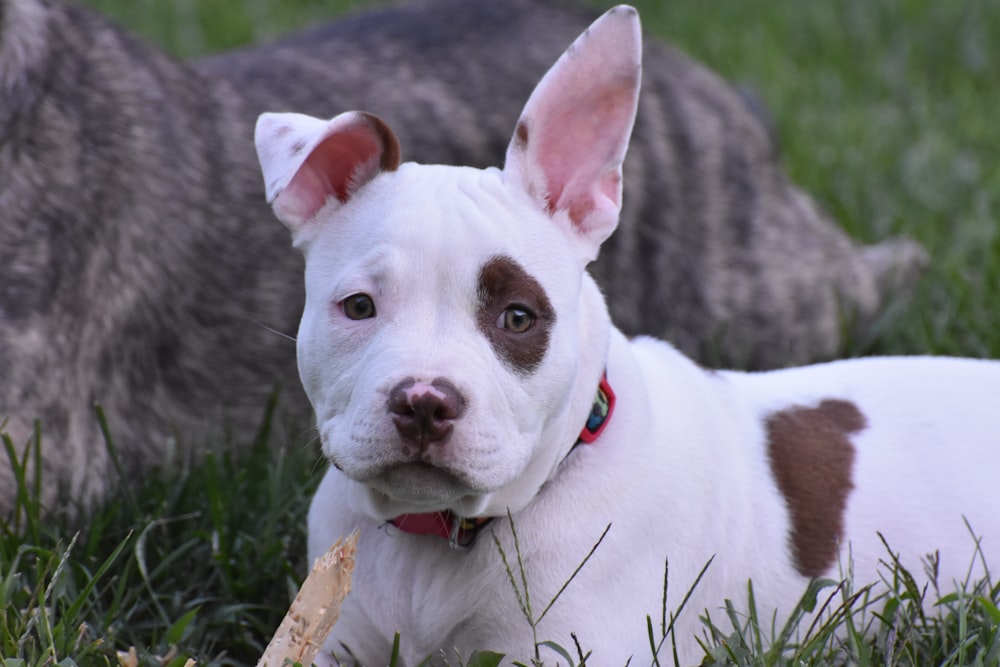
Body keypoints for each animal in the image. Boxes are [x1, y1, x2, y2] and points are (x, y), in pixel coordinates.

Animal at [256, 6, 1000, 667]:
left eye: (518, 318)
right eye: (358, 307)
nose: (423, 402)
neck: (438, 538)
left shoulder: (575, 648)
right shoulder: (327, 629)